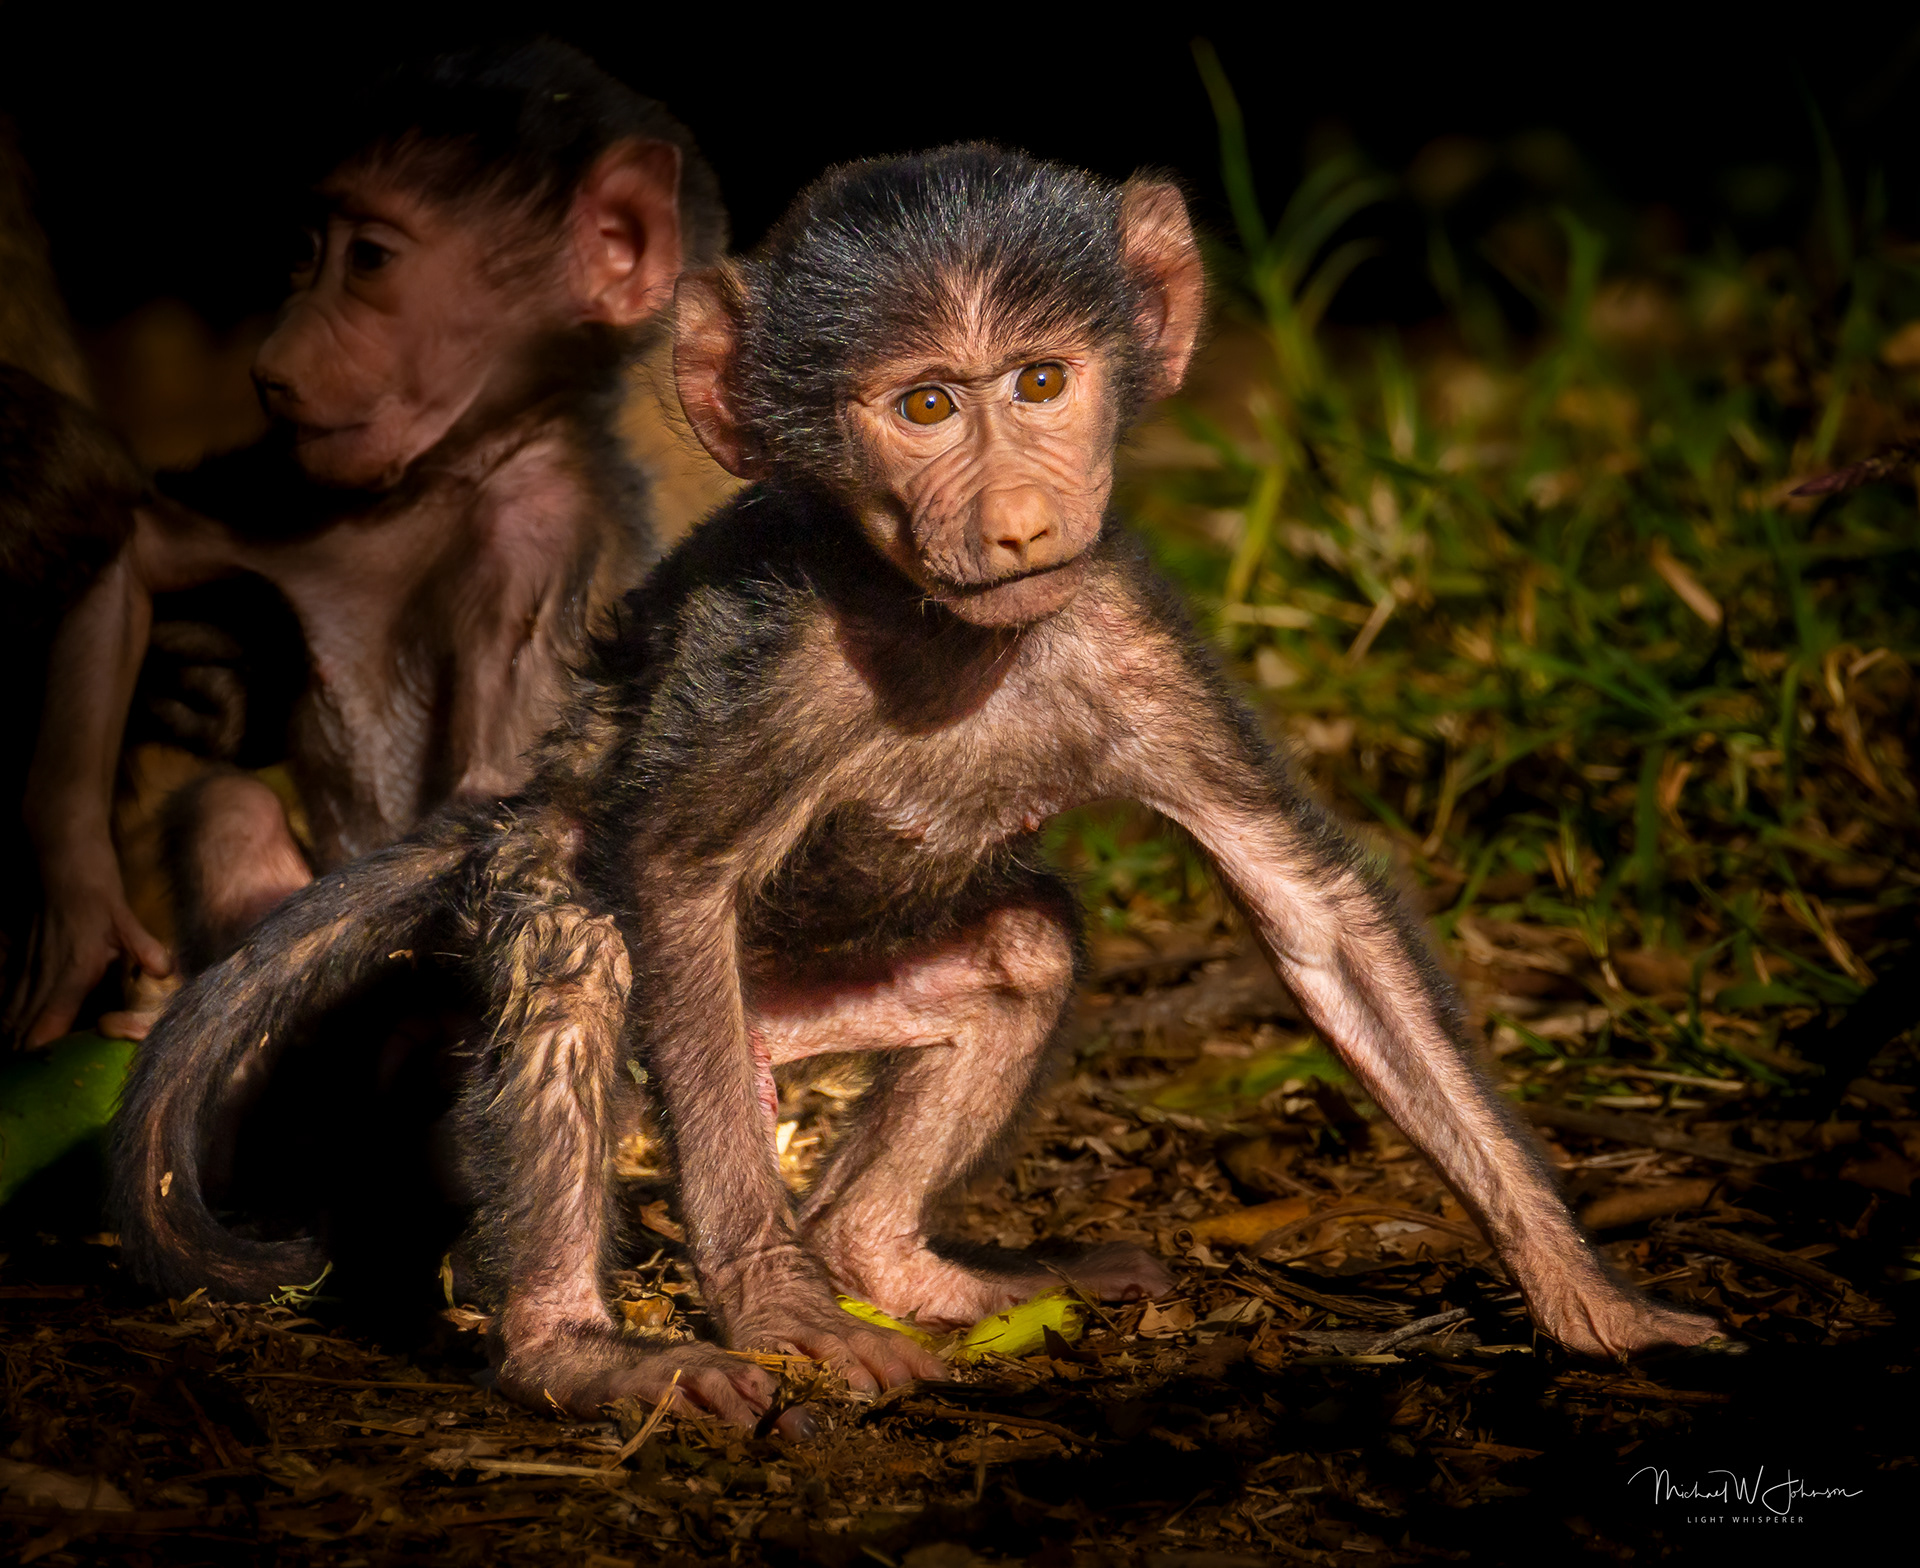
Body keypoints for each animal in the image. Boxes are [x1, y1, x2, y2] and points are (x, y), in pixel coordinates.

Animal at [6, 38, 727, 1046]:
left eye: (371, 261)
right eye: (304, 255)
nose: (271, 362)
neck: (450, 475)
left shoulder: (544, 544)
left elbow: (500, 807)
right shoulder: (305, 493)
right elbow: (129, 546)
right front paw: (78, 912)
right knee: (229, 807)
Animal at [112, 144, 1717, 1432]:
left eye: (1043, 382)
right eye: (928, 404)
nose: (1015, 521)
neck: (949, 635)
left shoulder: (1128, 633)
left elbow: (1310, 911)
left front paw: (1587, 1292)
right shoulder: (779, 661)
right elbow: (675, 879)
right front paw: (771, 1311)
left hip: (805, 1008)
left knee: (1017, 949)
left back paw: (889, 1256)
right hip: (635, 956)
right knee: (587, 945)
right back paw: (579, 1345)